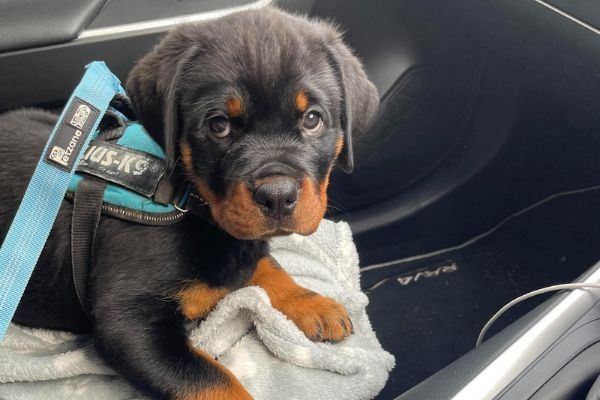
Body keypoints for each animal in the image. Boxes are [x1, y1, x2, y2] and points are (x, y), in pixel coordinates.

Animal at [0, 6, 376, 400]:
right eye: (218, 125)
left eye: (312, 119)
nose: (277, 196)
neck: (187, 199)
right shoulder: (128, 323)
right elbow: (214, 382)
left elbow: (266, 264)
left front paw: (310, 302)